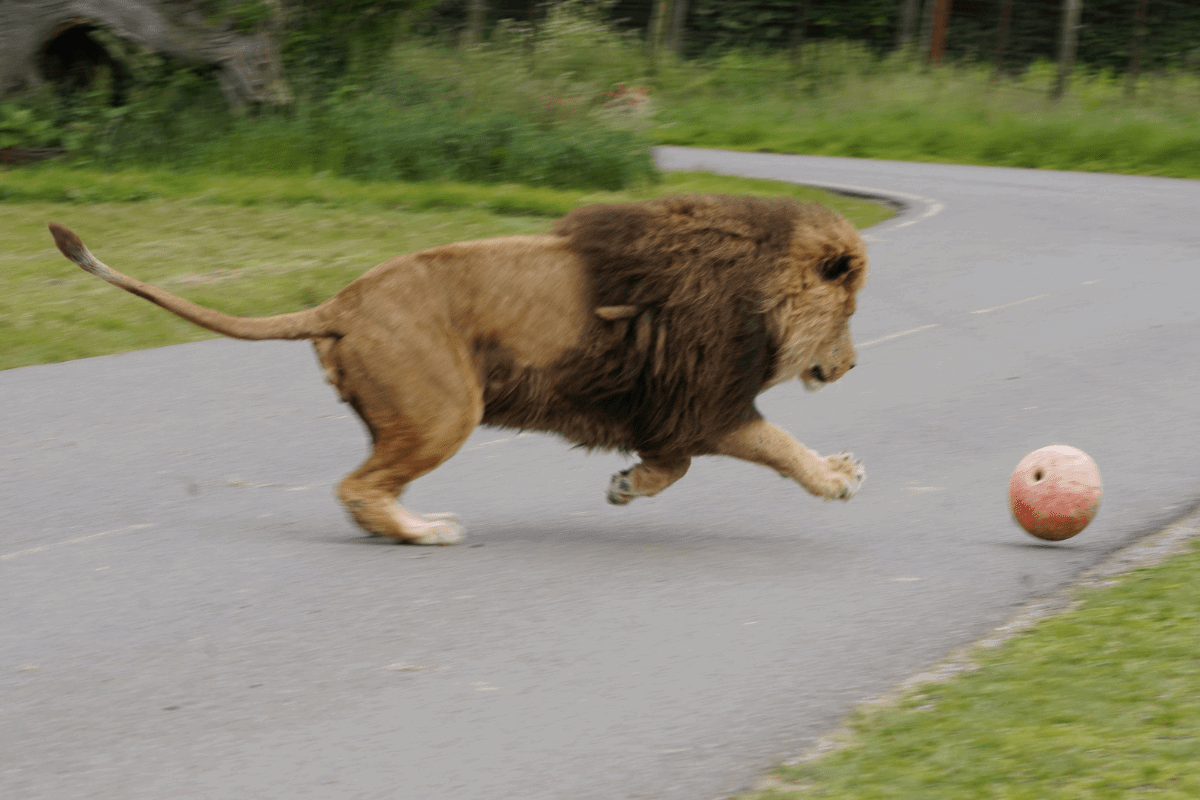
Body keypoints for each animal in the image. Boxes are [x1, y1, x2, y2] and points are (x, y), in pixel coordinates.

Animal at [48, 194, 868, 545]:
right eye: (851, 311)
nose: (853, 364)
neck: (761, 287)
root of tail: (340, 301)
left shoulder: (673, 412)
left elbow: (675, 467)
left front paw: (625, 486)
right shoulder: (705, 404)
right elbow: (778, 446)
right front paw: (838, 478)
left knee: (362, 487)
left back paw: (399, 529)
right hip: (445, 411)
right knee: (357, 486)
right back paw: (425, 531)